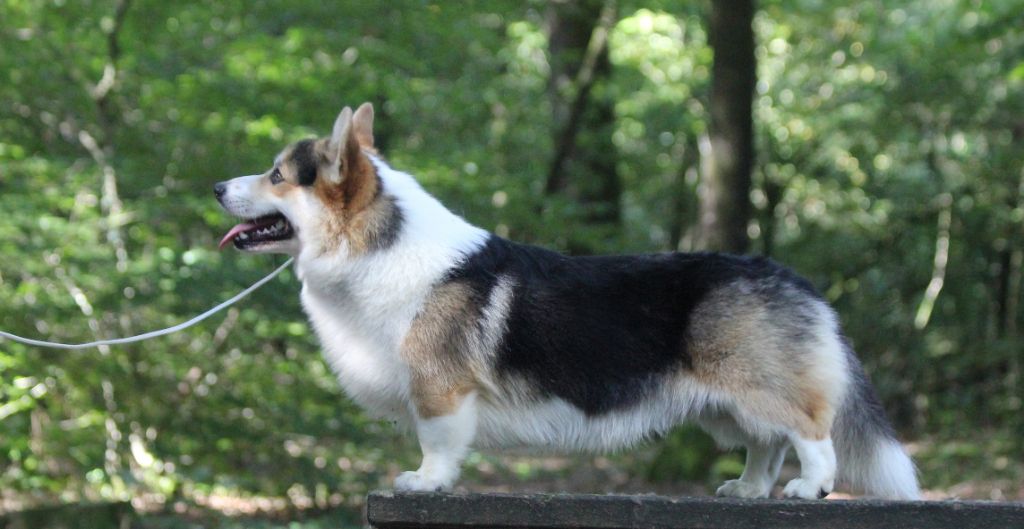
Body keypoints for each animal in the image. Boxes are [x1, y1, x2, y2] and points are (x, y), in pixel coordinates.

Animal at [213, 103, 920, 500]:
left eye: (276, 175)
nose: (218, 186)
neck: (374, 247)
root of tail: (792, 277)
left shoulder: (441, 390)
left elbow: (437, 443)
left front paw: (425, 484)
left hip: (760, 385)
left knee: (810, 434)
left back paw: (808, 488)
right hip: (730, 404)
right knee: (764, 445)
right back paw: (747, 490)